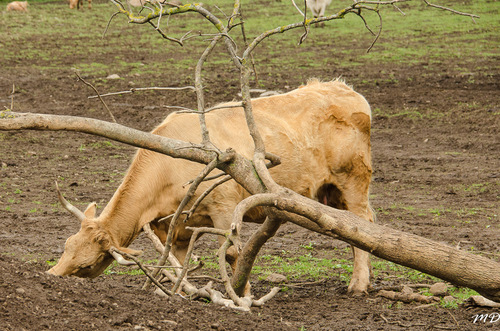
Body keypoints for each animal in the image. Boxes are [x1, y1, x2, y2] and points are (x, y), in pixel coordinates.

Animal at [47, 80, 376, 296]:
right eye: (65, 247)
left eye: (86, 265)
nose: (50, 277)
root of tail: (345, 89)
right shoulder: (174, 226)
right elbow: (178, 262)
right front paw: (182, 292)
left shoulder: (225, 207)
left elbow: (231, 252)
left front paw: (242, 294)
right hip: (329, 193)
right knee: (351, 230)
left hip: (354, 179)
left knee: (363, 223)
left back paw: (358, 286)